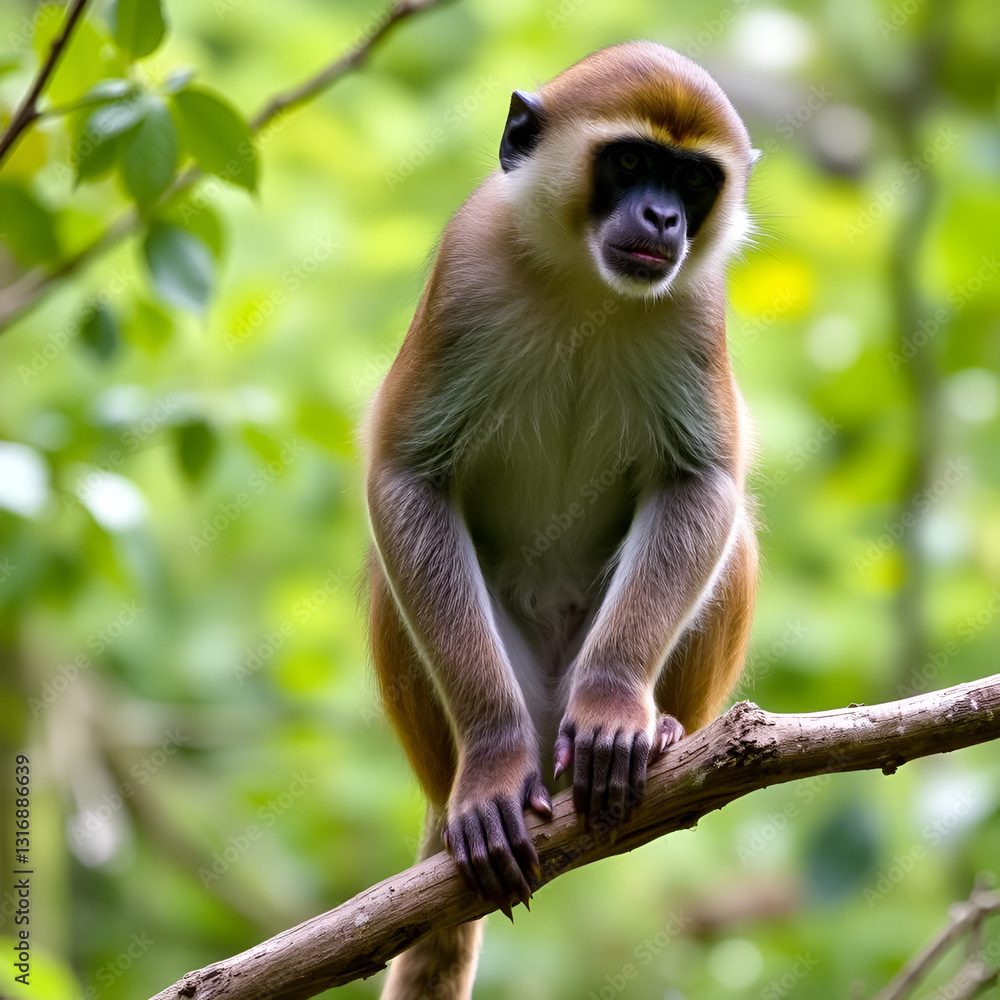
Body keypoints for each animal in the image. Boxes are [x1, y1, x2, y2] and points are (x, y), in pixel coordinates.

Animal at [365, 41, 758, 1000]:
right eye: (629, 160)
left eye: (692, 178)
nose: (661, 216)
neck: (586, 279)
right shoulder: (467, 261)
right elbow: (406, 479)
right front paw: (492, 764)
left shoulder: (699, 302)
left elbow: (703, 484)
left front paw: (617, 707)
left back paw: (661, 731)